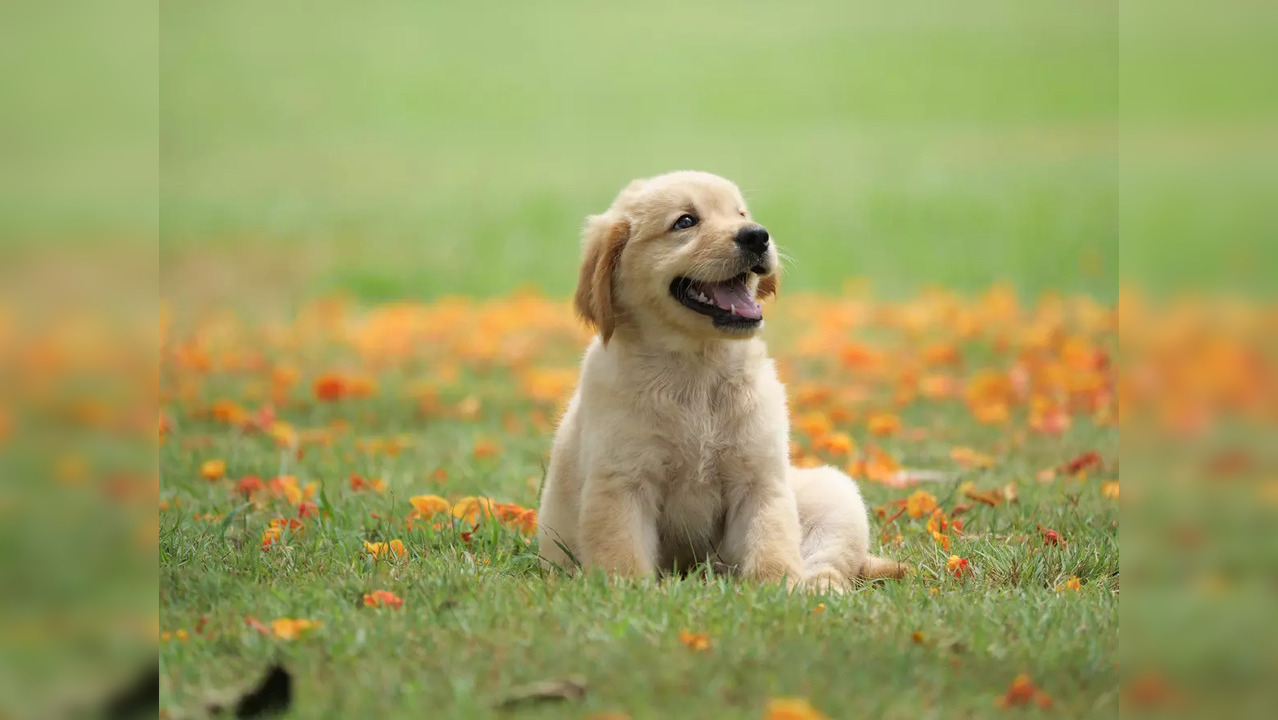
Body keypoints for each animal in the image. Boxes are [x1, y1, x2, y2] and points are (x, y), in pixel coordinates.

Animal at [539, 171, 909, 588]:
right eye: (685, 221)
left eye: (741, 213)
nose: (757, 235)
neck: (698, 369)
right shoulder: (621, 482)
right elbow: (622, 556)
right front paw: (630, 591)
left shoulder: (760, 479)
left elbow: (771, 543)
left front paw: (777, 589)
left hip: (834, 494)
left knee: (828, 562)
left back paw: (819, 589)